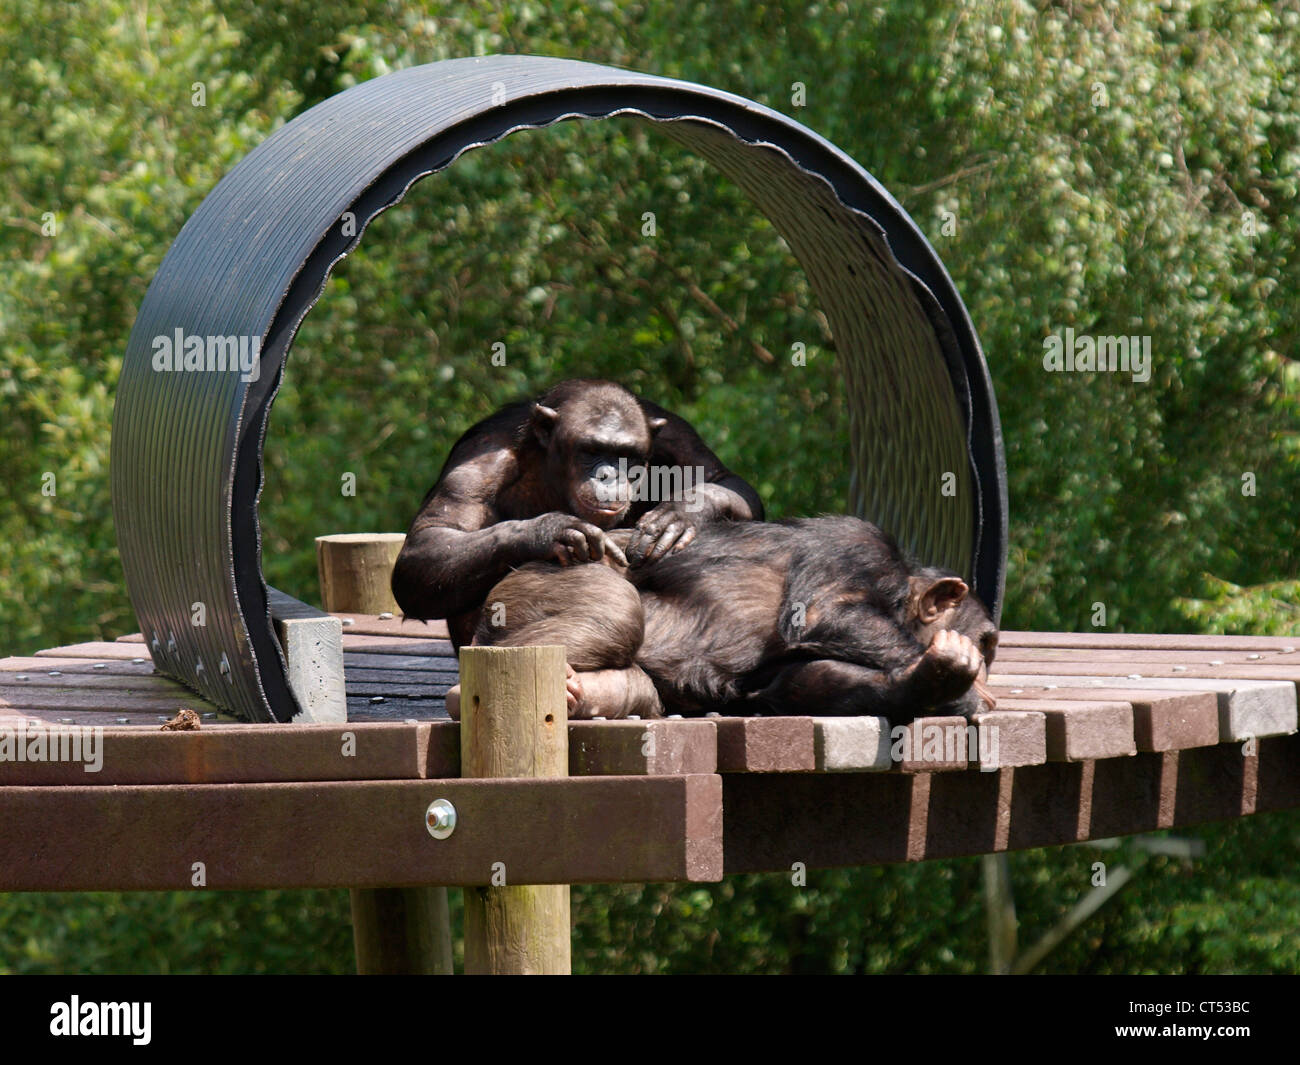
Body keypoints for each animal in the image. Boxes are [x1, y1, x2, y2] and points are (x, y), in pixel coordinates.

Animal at [387, 379, 759, 652]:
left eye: (627, 455)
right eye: (591, 450)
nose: (610, 475)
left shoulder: (675, 436)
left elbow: (724, 479)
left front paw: (679, 515)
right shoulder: (480, 462)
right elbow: (429, 543)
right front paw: (553, 531)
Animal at [460, 514, 1003, 723]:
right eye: (987, 643)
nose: (988, 669)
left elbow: (809, 680)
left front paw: (940, 680)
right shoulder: (858, 543)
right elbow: (826, 612)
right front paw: (962, 681)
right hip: (537, 582)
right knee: (616, 608)